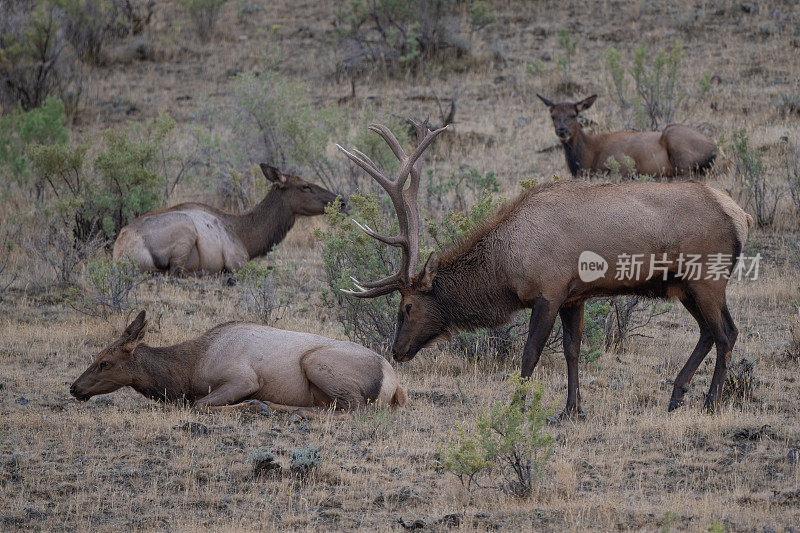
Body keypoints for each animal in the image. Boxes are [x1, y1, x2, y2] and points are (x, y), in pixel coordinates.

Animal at [69, 310, 406, 414]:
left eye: (105, 361)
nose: (74, 388)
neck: (188, 370)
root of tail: (395, 385)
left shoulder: (243, 378)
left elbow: (200, 404)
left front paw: (249, 404)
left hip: (315, 361)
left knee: (350, 408)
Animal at [111, 164, 340, 274]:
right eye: (305, 186)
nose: (342, 201)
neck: (248, 238)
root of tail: (120, 253)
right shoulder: (236, 259)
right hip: (185, 231)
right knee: (176, 271)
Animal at [338, 119, 752, 416]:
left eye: (406, 306)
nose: (396, 350)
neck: (506, 267)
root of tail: (741, 215)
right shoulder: (574, 296)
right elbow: (572, 349)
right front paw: (571, 409)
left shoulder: (548, 291)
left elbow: (531, 353)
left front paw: (516, 406)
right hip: (684, 286)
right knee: (708, 332)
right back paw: (677, 395)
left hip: (707, 277)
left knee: (726, 332)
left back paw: (710, 402)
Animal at [536, 94, 720, 179]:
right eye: (553, 116)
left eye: (574, 115)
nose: (562, 130)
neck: (587, 156)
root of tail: (714, 149)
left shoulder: (621, 165)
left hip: (675, 139)